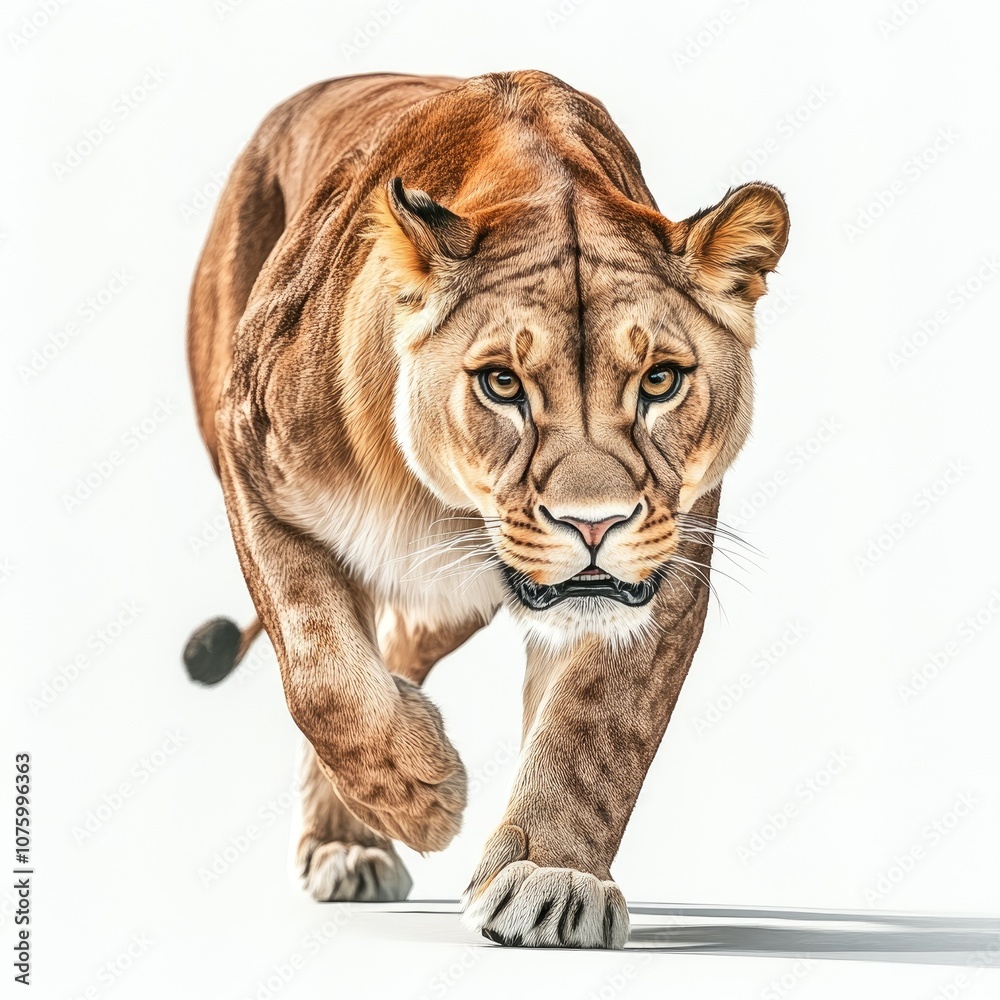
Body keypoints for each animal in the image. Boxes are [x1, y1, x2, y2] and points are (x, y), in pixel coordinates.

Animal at [183, 70, 789, 949]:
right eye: (502, 383)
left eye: (661, 380)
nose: (595, 523)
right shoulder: (250, 461)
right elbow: (321, 674)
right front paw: (423, 800)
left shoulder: (671, 558)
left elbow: (596, 728)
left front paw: (551, 878)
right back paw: (352, 838)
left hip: (446, 606)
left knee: (398, 647)